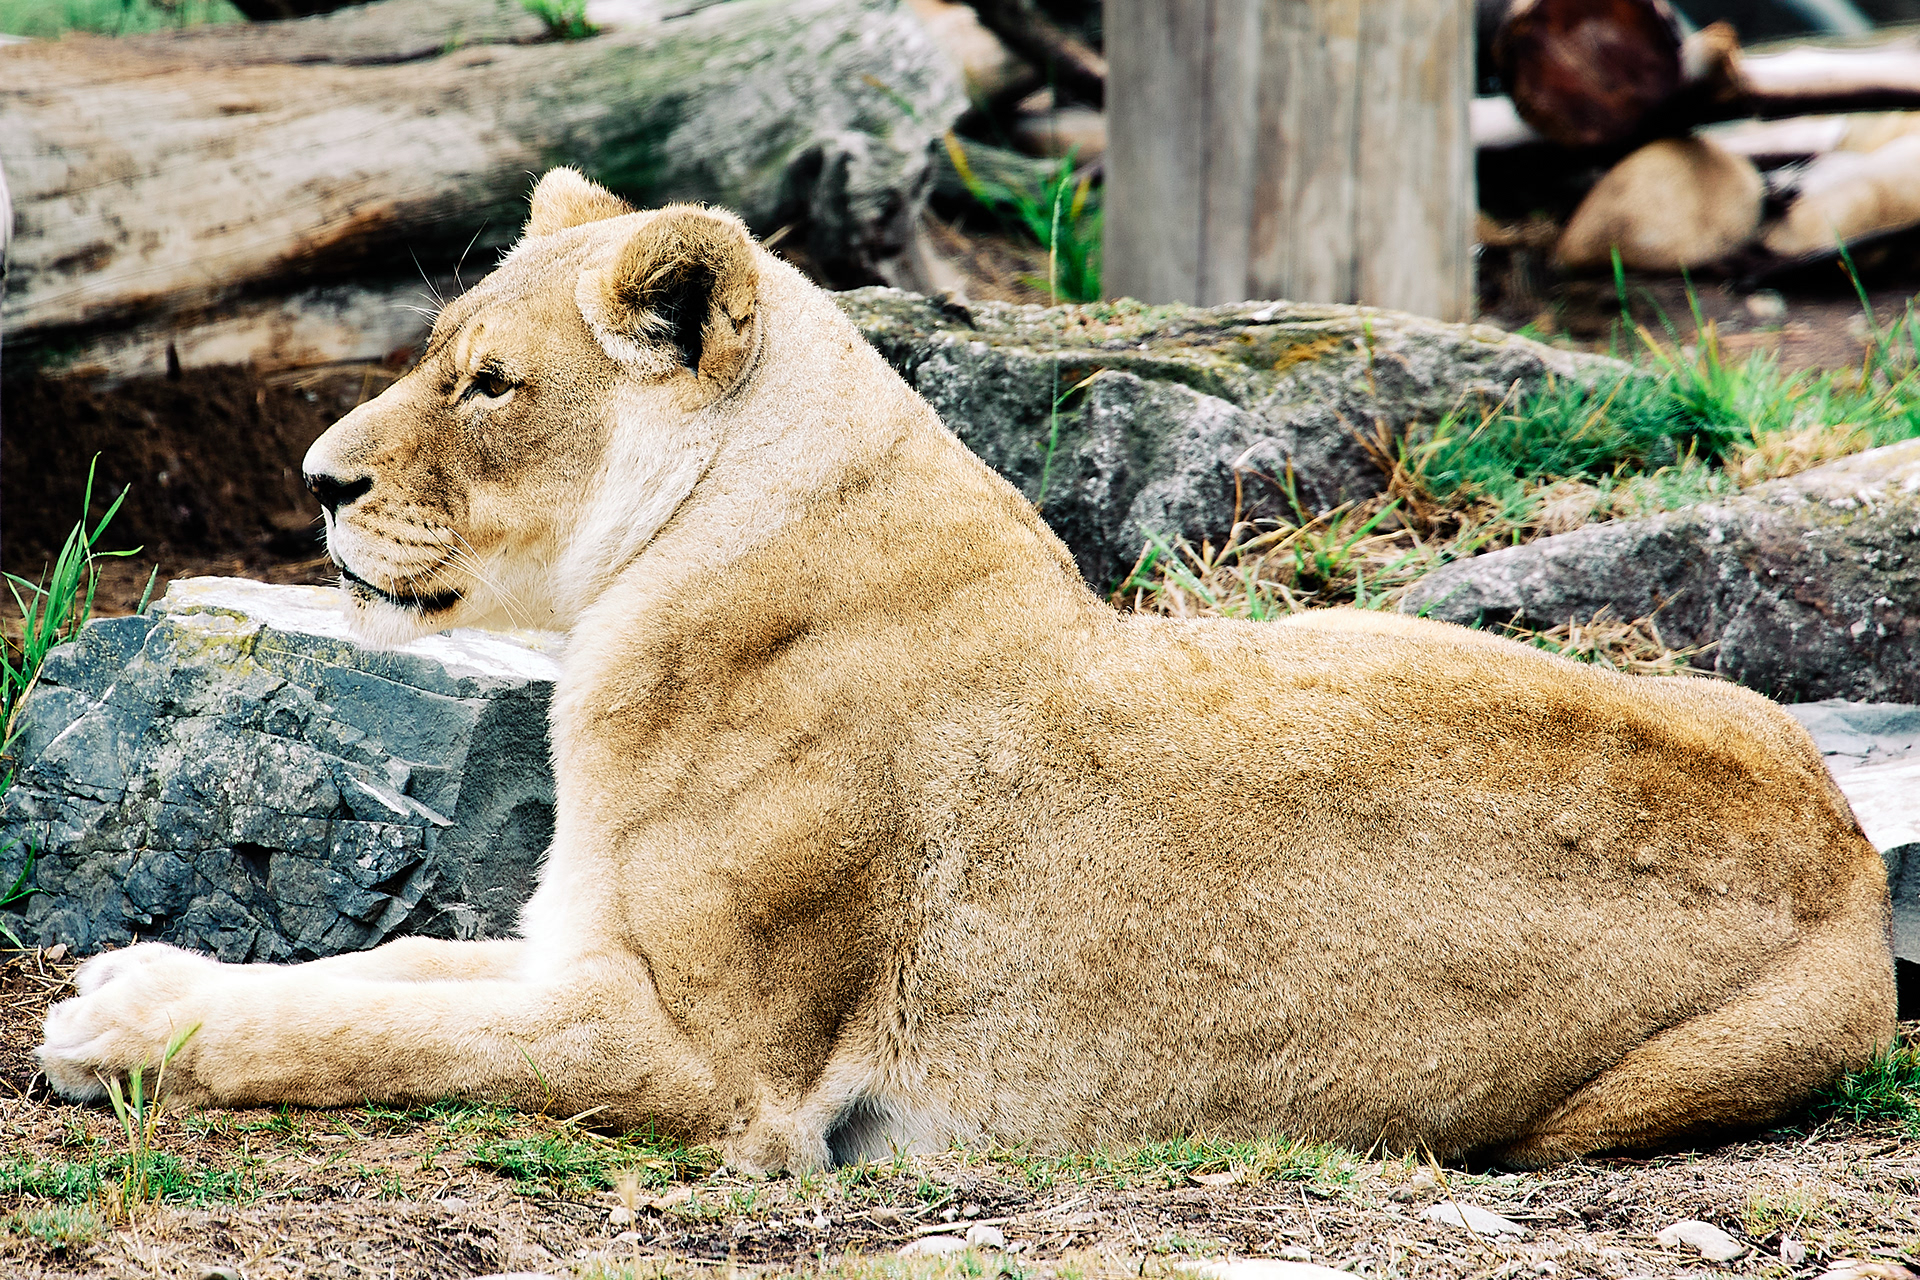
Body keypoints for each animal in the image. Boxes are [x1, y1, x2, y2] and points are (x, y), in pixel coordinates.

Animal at [39, 169, 1896, 1173]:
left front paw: (126, 1018)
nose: (315, 484)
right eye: (436, 355)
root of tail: (1856, 855)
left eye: (489, 383)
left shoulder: (722, 1073)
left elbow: (373, 1027)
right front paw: (147, 978)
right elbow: (398, 970)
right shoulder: (579, 950)